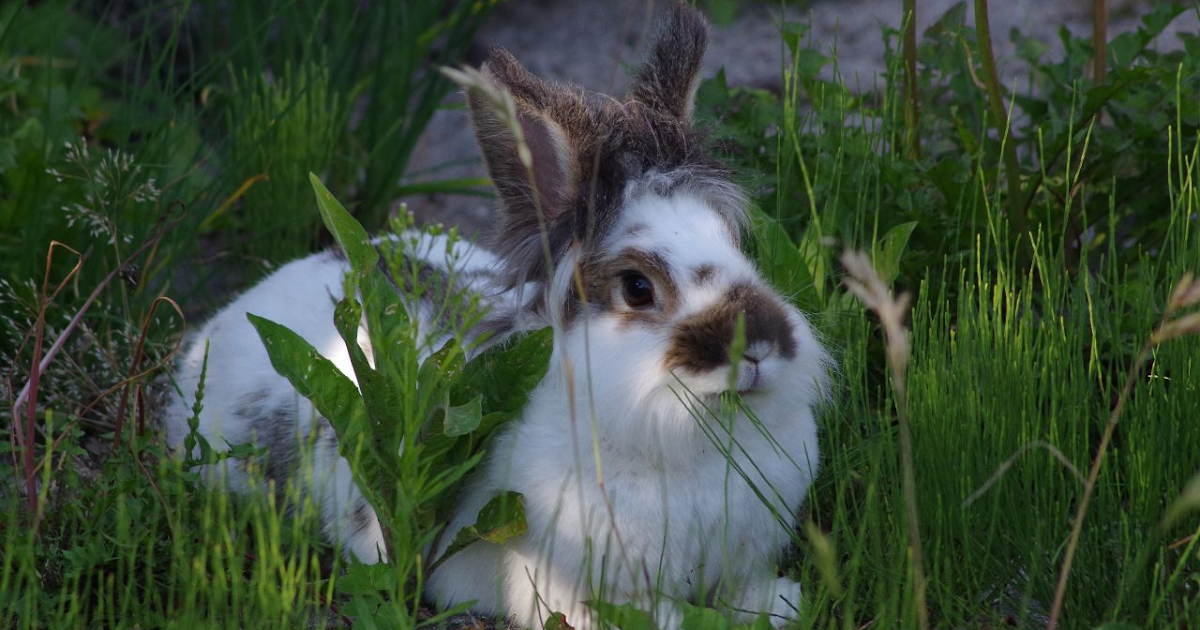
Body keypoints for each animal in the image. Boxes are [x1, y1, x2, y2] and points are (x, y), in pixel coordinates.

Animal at [166, 2, 830, 628]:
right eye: (638, 288)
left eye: (738, 246)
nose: (758, 348)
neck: (683, 443)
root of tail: (224, 321)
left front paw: (779, 603)